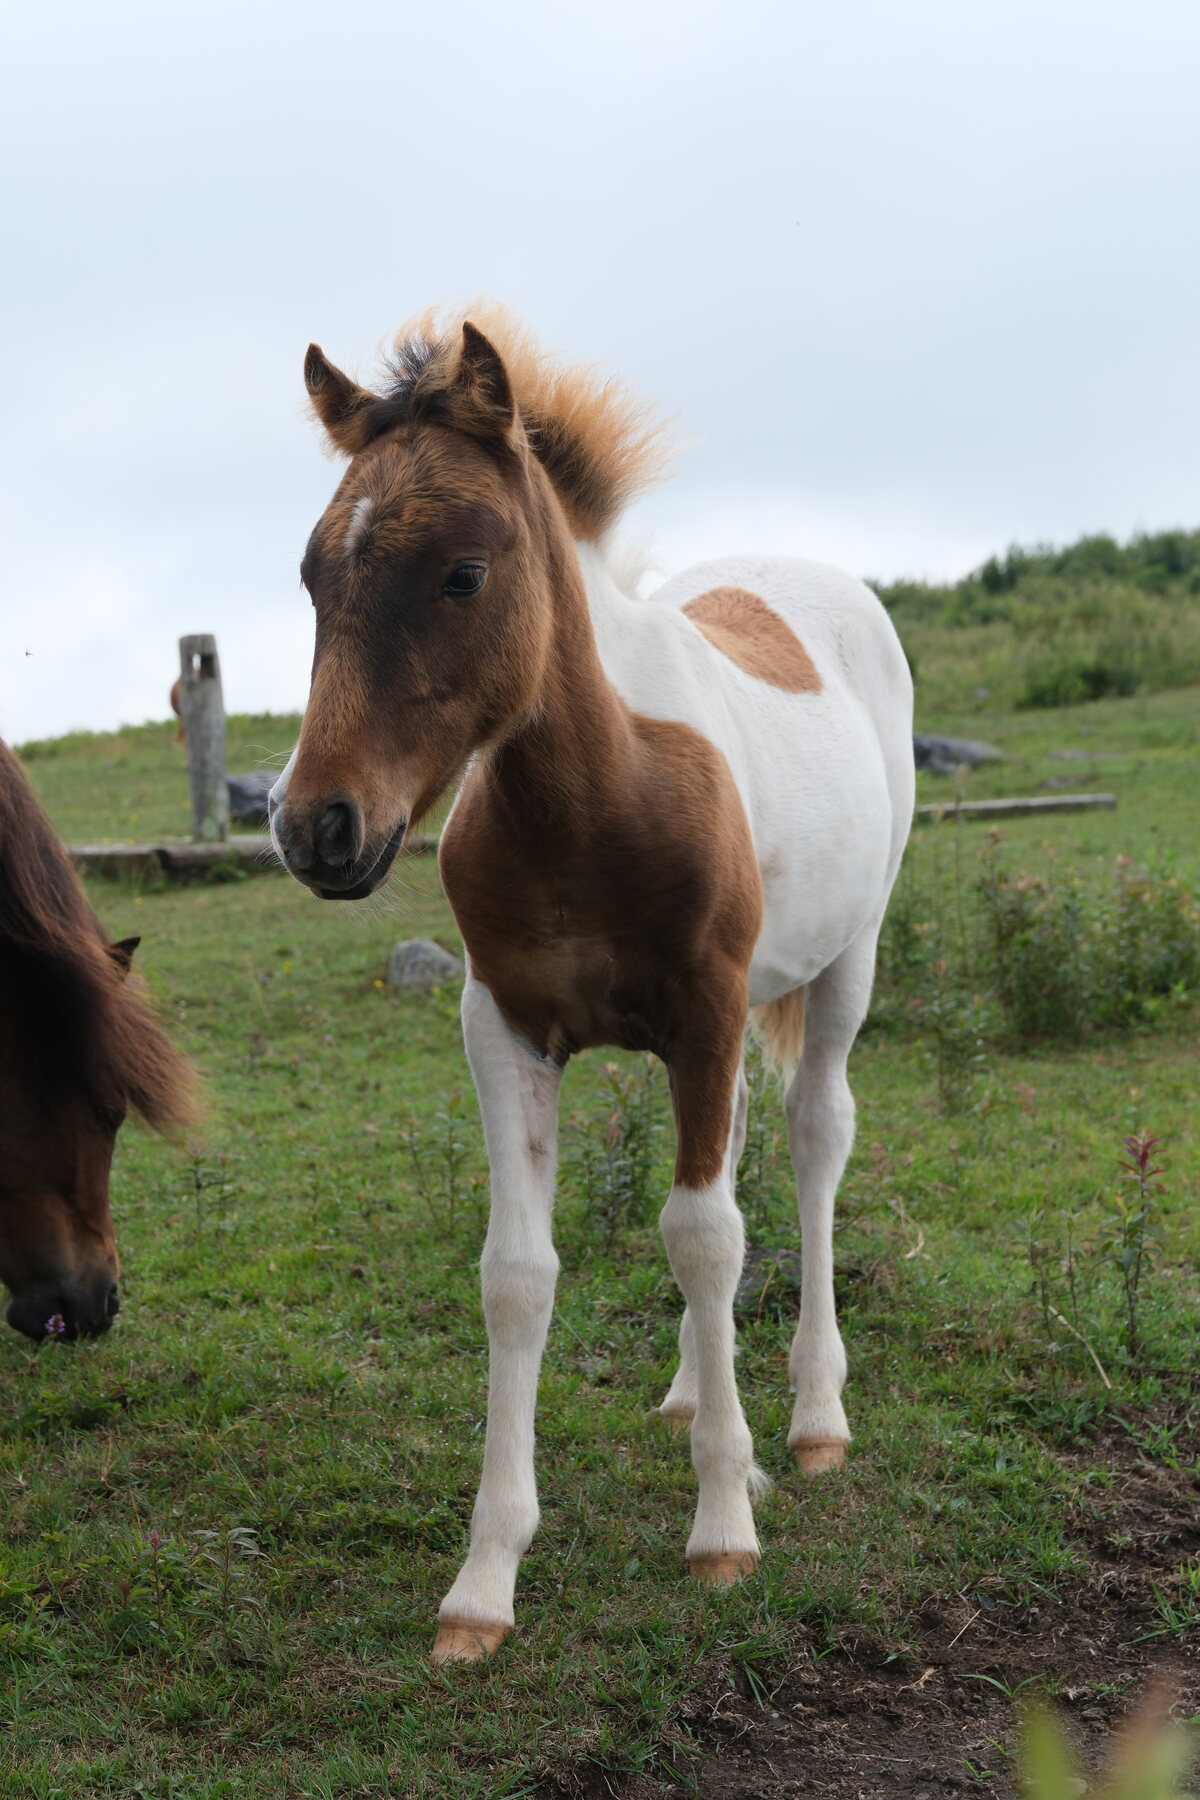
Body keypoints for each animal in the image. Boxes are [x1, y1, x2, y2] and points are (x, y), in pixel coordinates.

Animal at [269, 307, 915, 1661]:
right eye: (312, 576)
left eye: (462, 574)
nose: (315, 829)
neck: (598, 793)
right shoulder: (505, 1026)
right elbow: (521, 1275)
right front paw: (483, 1584)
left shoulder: (710, 1009)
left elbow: (705, 1236)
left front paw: (724, 1525)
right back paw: (689, 1391)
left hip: (847, 960)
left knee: (813, 1139)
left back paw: (812, 1418)